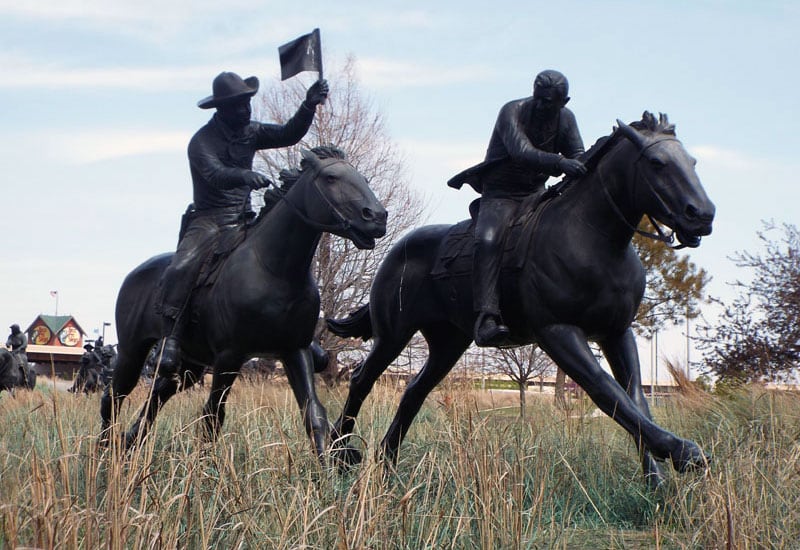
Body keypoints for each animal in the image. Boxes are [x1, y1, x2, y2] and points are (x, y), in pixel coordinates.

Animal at [100, 144, 388, 460]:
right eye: (331, 177)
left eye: (364, 180)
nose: (377, 217)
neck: (274, 271)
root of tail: (134, 274)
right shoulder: (230, 356)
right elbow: (212, 416)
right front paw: (207, 468)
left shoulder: (294, 352)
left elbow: (313, 413)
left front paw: (325, 469)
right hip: (133, 352)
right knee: (113, 396)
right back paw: (104, 452)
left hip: (191, 365)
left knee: (156, 395)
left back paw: (129, 443)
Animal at [328, 113, 716, 488]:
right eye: (656, 162)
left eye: (693, 161)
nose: (702, 214)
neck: (594, 238)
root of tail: (397, 250)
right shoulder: (557, 332)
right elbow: (605, 391)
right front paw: (683, 452)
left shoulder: (616, 333)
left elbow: (634, 397)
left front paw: (658, 481)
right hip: (394, 334)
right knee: (361, 379)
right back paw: (338, 453)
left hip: (447, 343)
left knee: (412, 392)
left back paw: (386, 465)